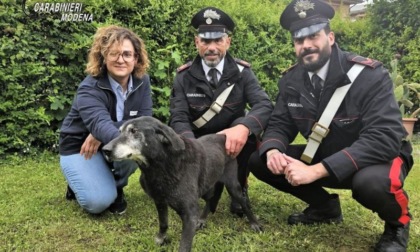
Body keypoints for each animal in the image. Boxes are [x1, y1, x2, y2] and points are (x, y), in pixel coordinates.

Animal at [101, 117, 260, 252]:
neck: (160, 167)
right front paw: (161, 239)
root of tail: (223, 136)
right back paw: (202, 219)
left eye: (134, 131)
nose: (105, 150)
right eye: (120, 131)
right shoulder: (160, 201)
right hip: (206, 186)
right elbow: (163, 223)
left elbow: (184, 245)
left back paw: (255, 223)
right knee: (211, 199)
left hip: (233, 186)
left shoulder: (189, 214)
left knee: (244, 202)